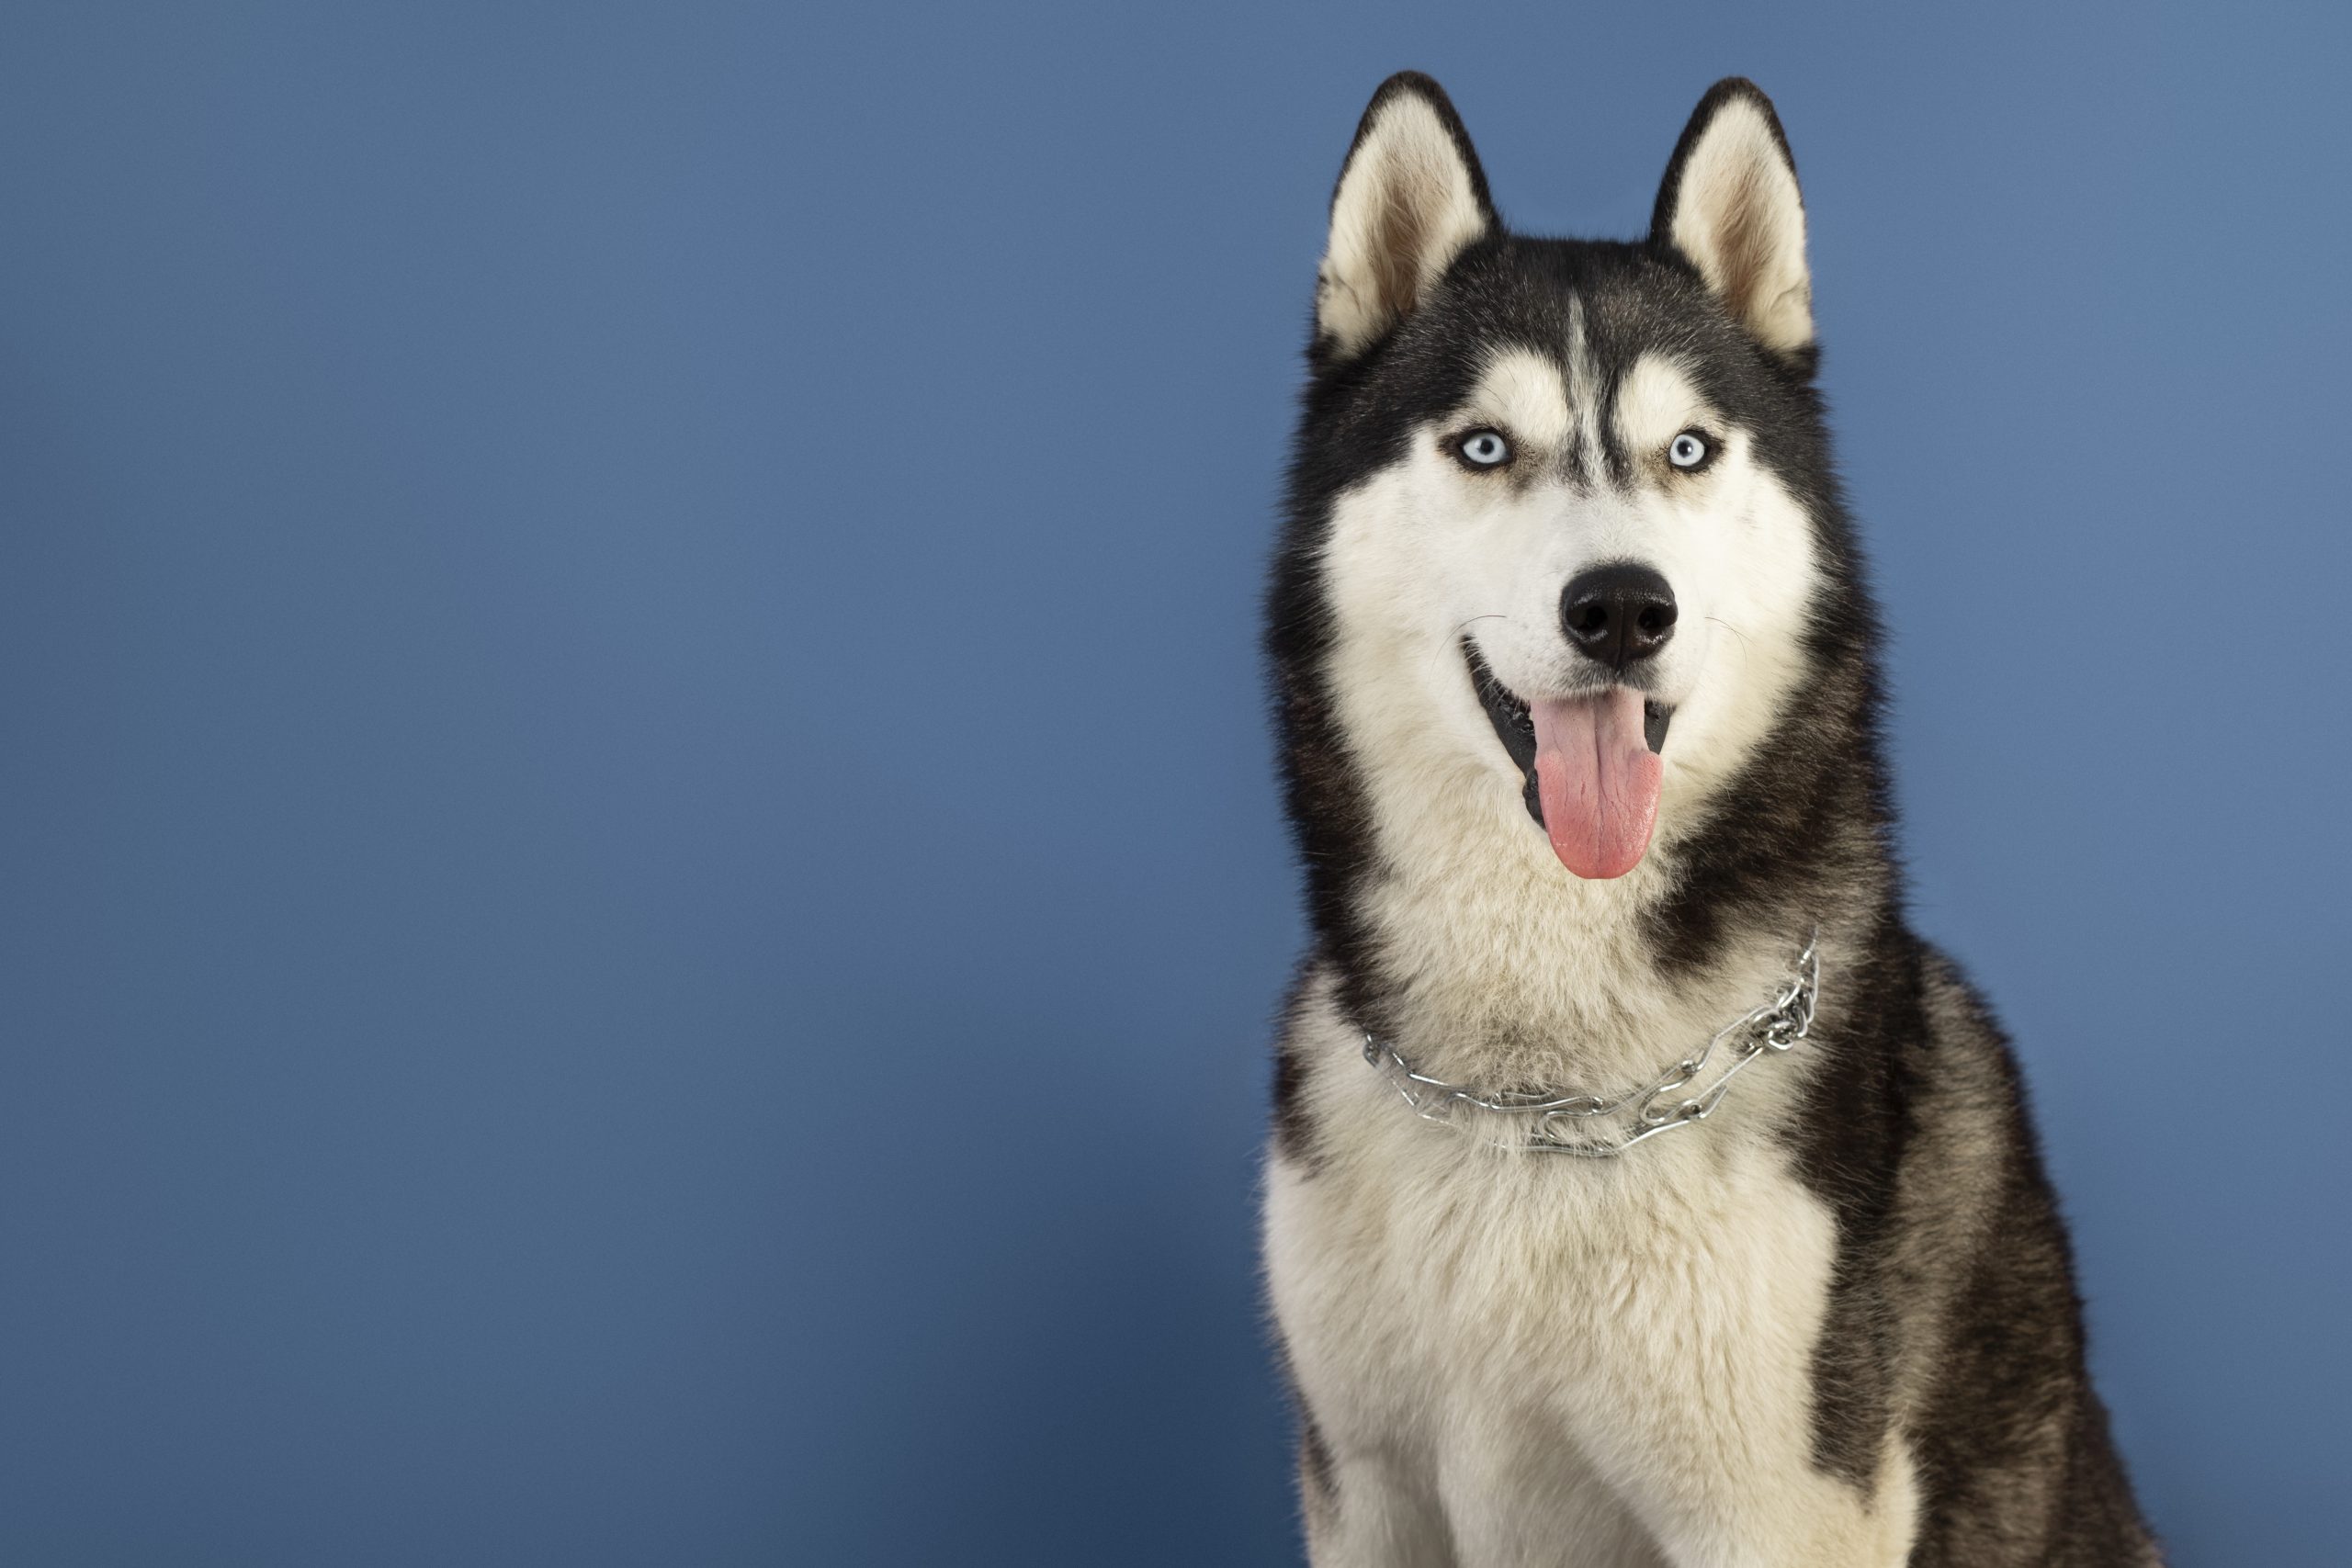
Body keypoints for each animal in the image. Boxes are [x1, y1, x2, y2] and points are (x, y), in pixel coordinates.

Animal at [1261, 76, 2154, 1568]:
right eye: (1483, 446)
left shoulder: (1776, 1508)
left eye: (1687, 450)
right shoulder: (1366, 1487)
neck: (1539, 1095)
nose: (1623, 606)